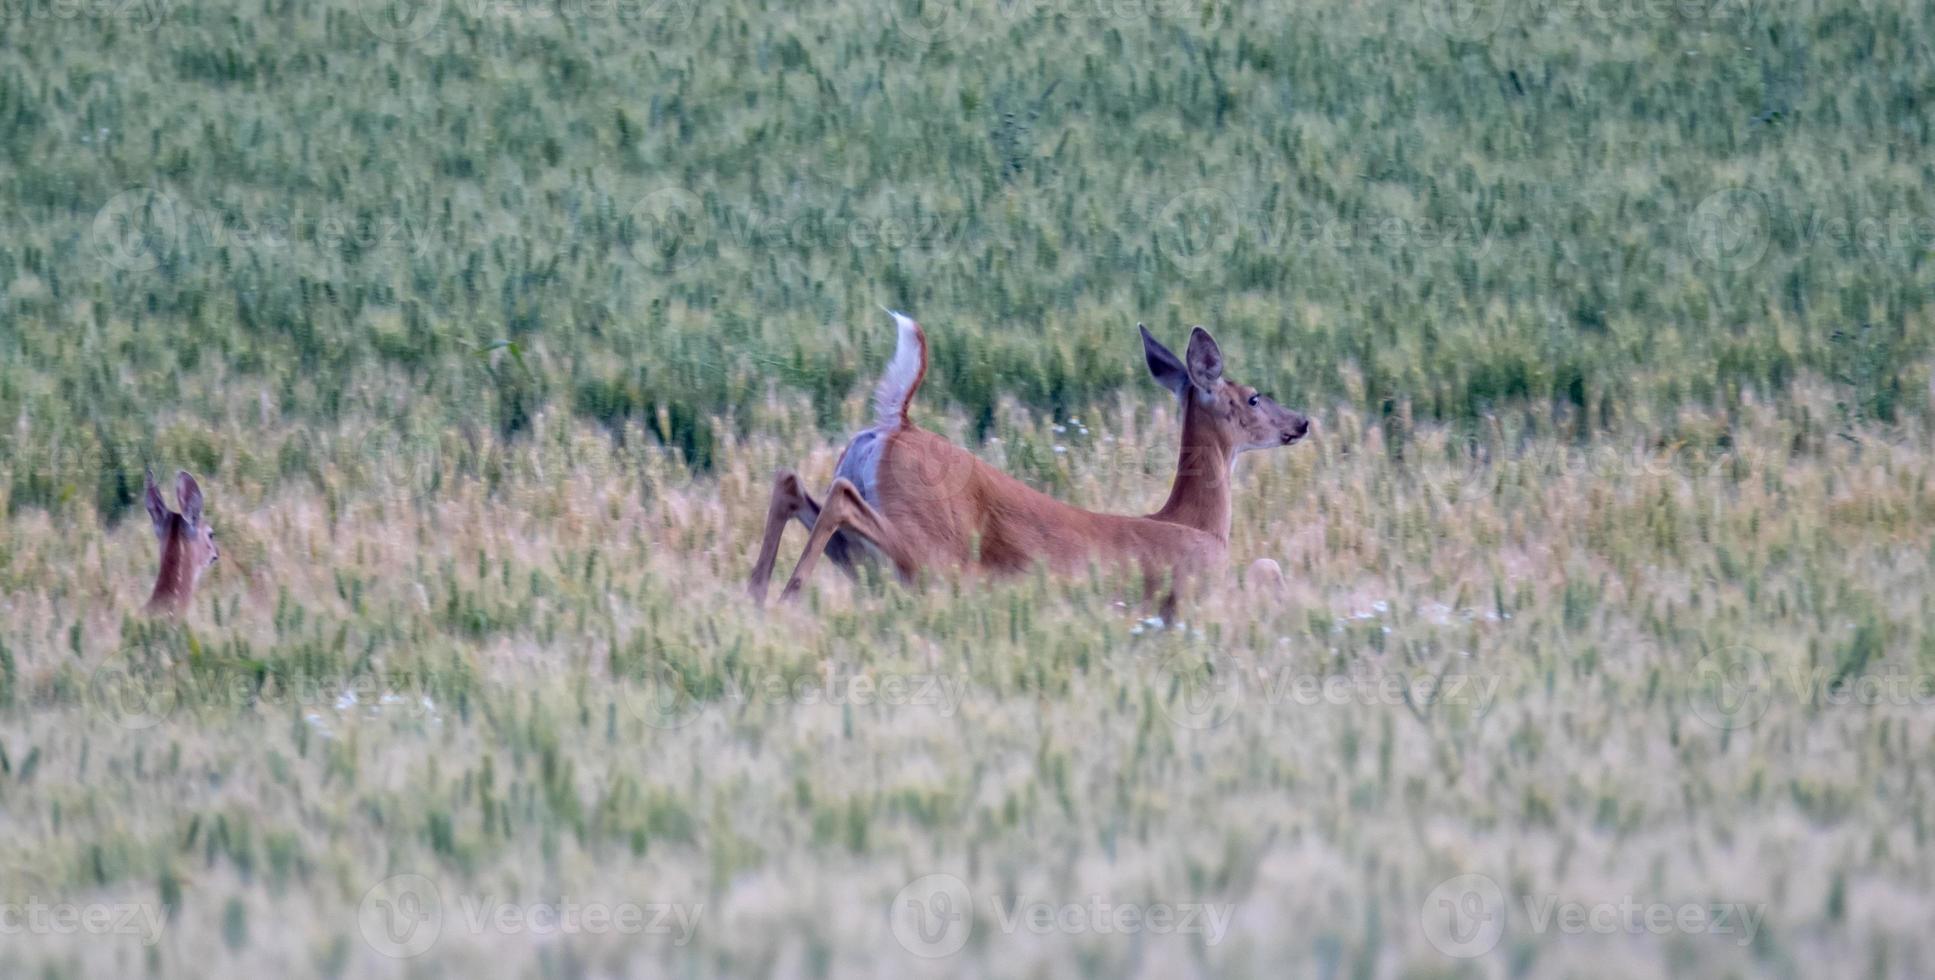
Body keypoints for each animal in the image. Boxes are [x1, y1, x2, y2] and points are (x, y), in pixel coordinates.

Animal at [746, 313, 1308, 612]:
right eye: (1254, 397)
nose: (1301, 421)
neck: (1196, 522)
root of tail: (895, 423)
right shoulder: (1201, 583)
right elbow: (1268, 566)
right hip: (935, 554)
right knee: (839, 499)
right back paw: (786, 598)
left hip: (875, 561)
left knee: (792, 482)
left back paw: (755, 597)